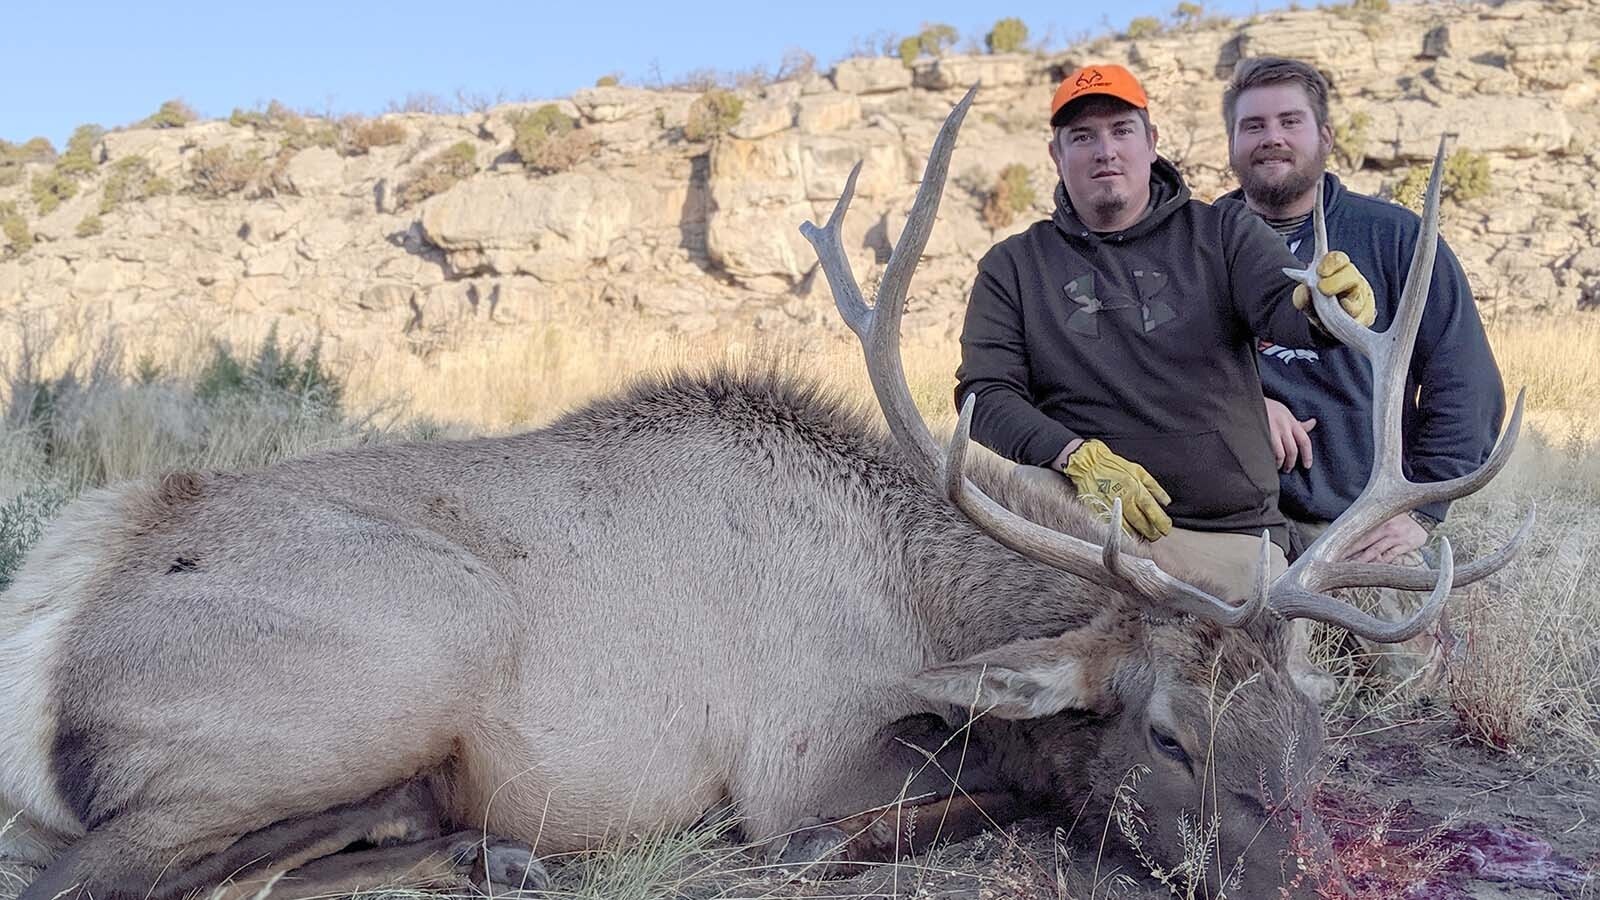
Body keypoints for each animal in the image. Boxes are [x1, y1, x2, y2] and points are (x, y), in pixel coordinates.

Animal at [0, 88, 1529, 900]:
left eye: (1308, 738)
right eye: (1167, 736)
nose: (1309, 878)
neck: (919, 603)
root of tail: (54, 621)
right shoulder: (798, 760)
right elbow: (940, 806)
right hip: (390, 664)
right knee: (107, 875)